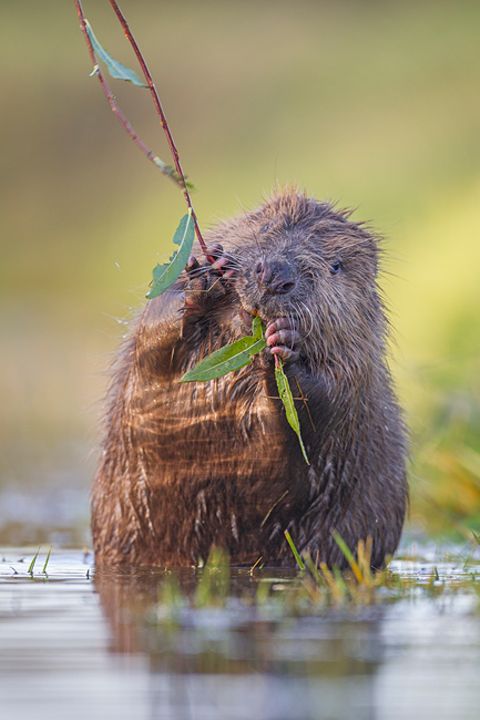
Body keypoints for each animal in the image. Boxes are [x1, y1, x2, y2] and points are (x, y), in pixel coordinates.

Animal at [94, 190, 408, 568]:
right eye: (265, 227)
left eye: (336, 265)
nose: (274, 275)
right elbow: (152, 332)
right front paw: (204, 276)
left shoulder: (357, 363)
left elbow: (323, 407)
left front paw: (282, 345)